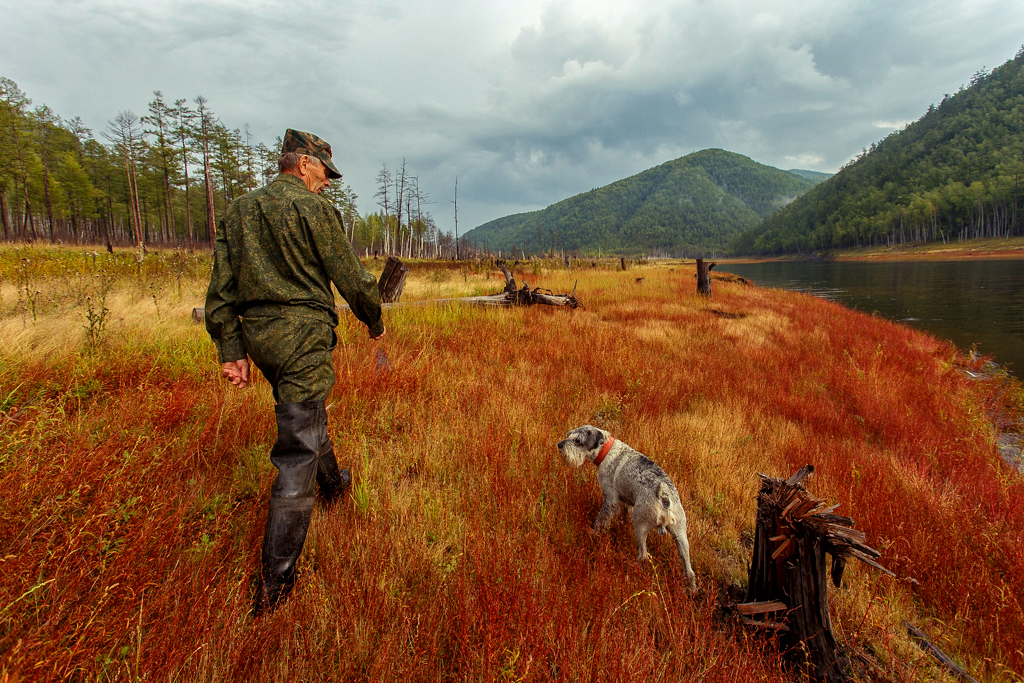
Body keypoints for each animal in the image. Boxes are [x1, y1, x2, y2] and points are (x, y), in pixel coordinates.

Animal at [557, 423, 700, 589]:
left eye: (578, 440)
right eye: (570, 435)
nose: (560, 445)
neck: (606, 450)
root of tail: (665, 497)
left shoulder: (610, 498)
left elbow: (602, 519)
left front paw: (594, 532)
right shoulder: (626, 501)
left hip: (640, 525)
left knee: (643, 555)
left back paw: (633, 567)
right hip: (681, 535)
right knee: (689, 569)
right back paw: (691, 587)